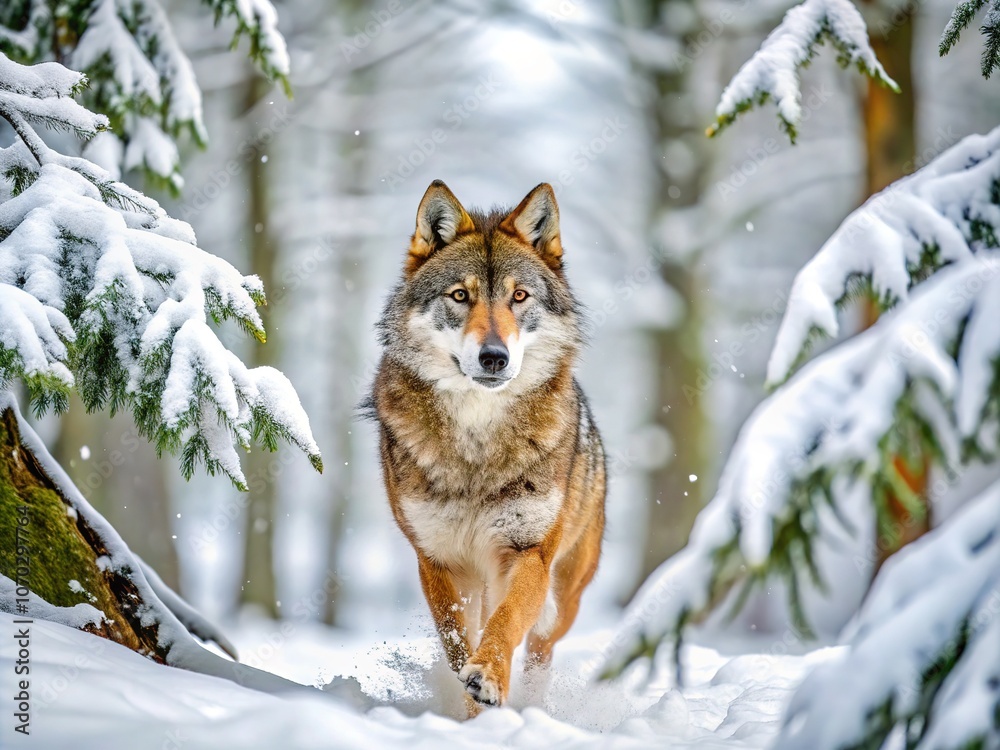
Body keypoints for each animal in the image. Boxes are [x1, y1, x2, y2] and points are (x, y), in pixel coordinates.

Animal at [368, 180, 606, 713]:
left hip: (565, 593)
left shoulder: (528, 553)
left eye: (519, 296)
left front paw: (490, 677)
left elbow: (507, 620)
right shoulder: (437, 561)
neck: (478, 440)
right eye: (460, 295)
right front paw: (472, 711)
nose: (493, 357)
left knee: (540, 647)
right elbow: (458, 640)